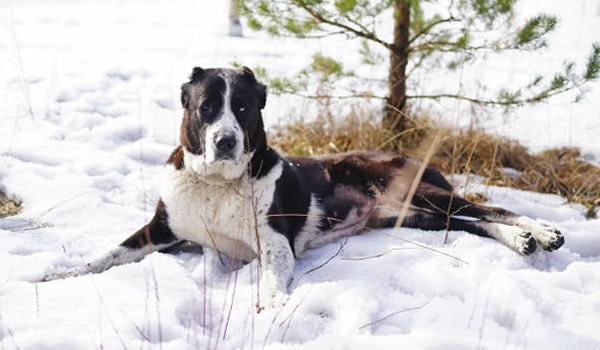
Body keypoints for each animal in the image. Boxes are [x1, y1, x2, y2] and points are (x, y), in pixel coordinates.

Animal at [42, 67, 564, 308]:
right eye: (207, 107)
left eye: (244, 108)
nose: (226, 141)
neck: (215, 185)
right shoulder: (161, 230)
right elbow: (107, 255)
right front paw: (61, 275)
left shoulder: (275, 243)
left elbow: (273, 276)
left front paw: (272, 304)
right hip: (415, 216)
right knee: (472, 220)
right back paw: (523, 241)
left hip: (417, 192)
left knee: (489, 209)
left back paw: (541, 233)